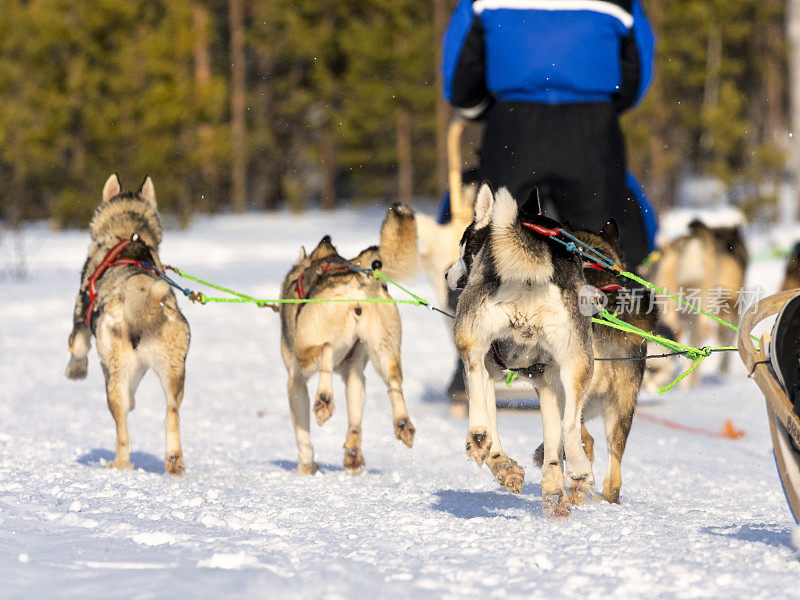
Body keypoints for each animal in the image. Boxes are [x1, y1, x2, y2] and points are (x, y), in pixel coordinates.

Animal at [65, 175, 190, 478]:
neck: (129, 234)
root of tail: (140, 292)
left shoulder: (80, 315)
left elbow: (76, 345)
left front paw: (75, 370)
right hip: (174, 371)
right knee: (171, 414)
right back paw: (174, 462)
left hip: (115, 375)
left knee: (122, 430)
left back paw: (120, 464)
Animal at [278, 204, 418, 476]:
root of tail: (357, 277)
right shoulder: (354, 374)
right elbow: (355, 420)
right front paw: (352, 455)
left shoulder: (295, 382)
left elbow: (303, 436)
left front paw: (305, 468)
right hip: (384, 353)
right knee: (394, 383)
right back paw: (401, 424)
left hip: (305, 351)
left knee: (326, 350)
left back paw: (323, 401)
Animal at [444, 184, 656, 516]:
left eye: (463, 244)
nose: (446, 275)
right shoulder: (547, 381)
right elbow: (556, 438)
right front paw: (554, 489)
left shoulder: (497, 368)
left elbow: (491, 419)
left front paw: (501, 464)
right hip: (583, 372)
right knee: (577, 434)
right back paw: (578, 478)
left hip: (470, 336)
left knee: (475, 377)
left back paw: (478, 436)